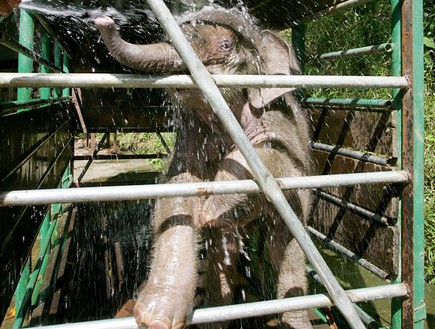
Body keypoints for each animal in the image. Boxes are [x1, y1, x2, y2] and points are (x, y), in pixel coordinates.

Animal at [95, 5, 314, 328]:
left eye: (226, 45)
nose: (104, 20)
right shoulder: (191, 134)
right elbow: (178, 190)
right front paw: (155, 317)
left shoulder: (280, 122)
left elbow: (281, 163)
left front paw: (209, 208)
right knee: (223, 252)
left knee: (284, 250)